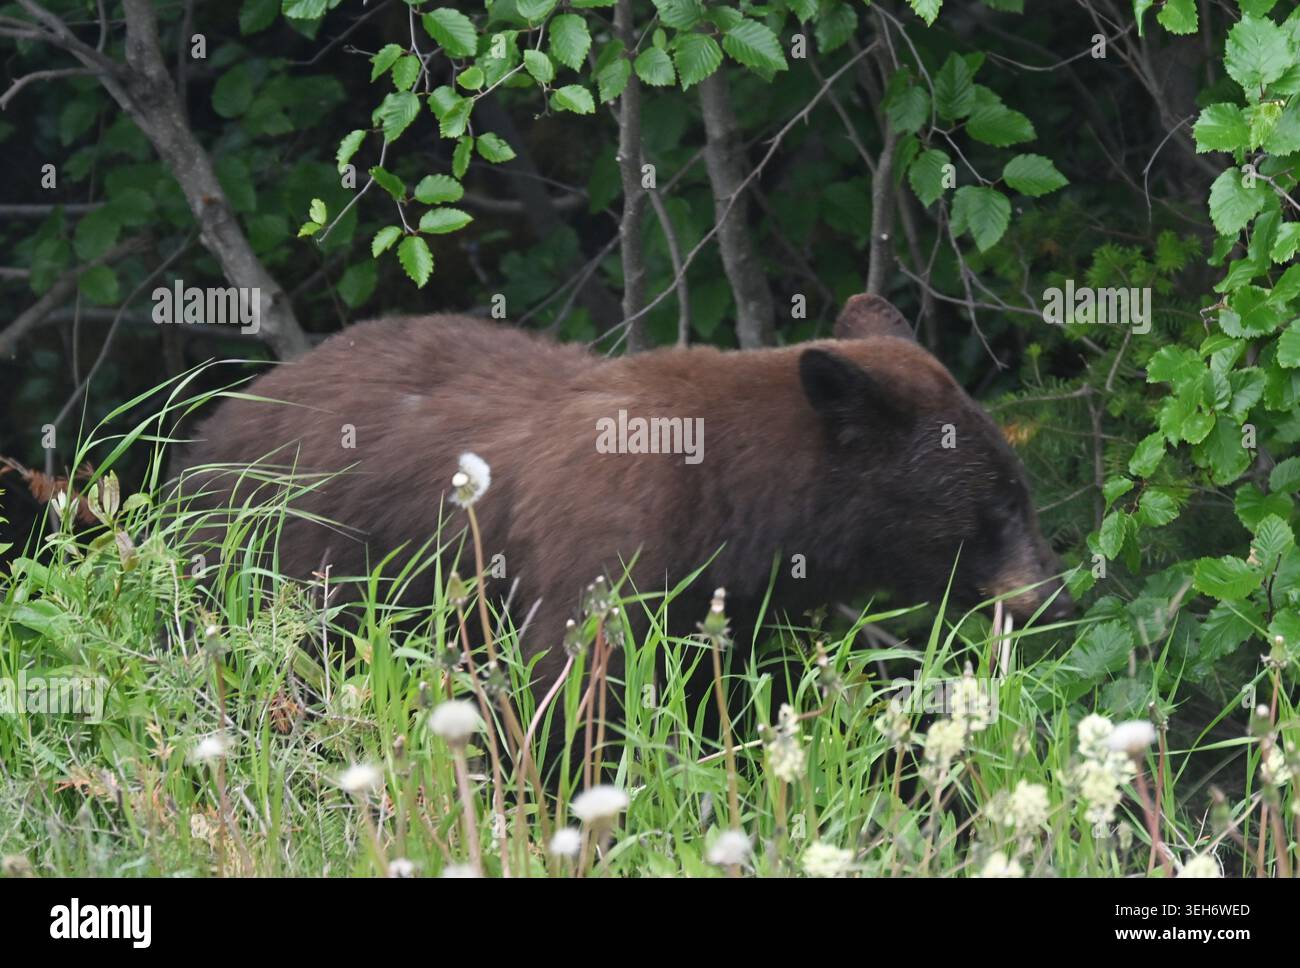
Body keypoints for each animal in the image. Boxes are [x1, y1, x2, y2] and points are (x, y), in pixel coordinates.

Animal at [173, 293, 1072, 692]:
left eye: (1020, 490)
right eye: (998, 506)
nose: (1056, 599)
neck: (739, 501)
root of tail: (211, 428)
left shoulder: (733, 605)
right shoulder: (608, 549)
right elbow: (571, 689)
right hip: (269, 561)